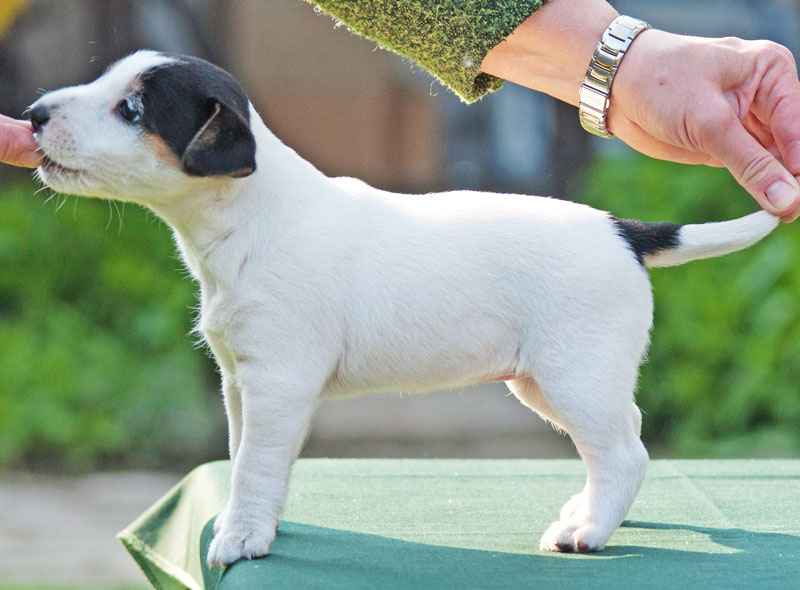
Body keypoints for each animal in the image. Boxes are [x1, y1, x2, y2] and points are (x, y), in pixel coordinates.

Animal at [29, 52, 780, 568]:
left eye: (131, 110)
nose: (33, 114)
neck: (249, 216)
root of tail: (623, 231)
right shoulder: (239, 382)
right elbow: (246, 459)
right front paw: (256, 523)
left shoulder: (277, 383)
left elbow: (254, 466)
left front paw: (241, 537)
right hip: (549, 382)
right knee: (627, 435)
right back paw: (590, 510)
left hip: (574, 376)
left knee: (625, 451)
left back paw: (586, 531)